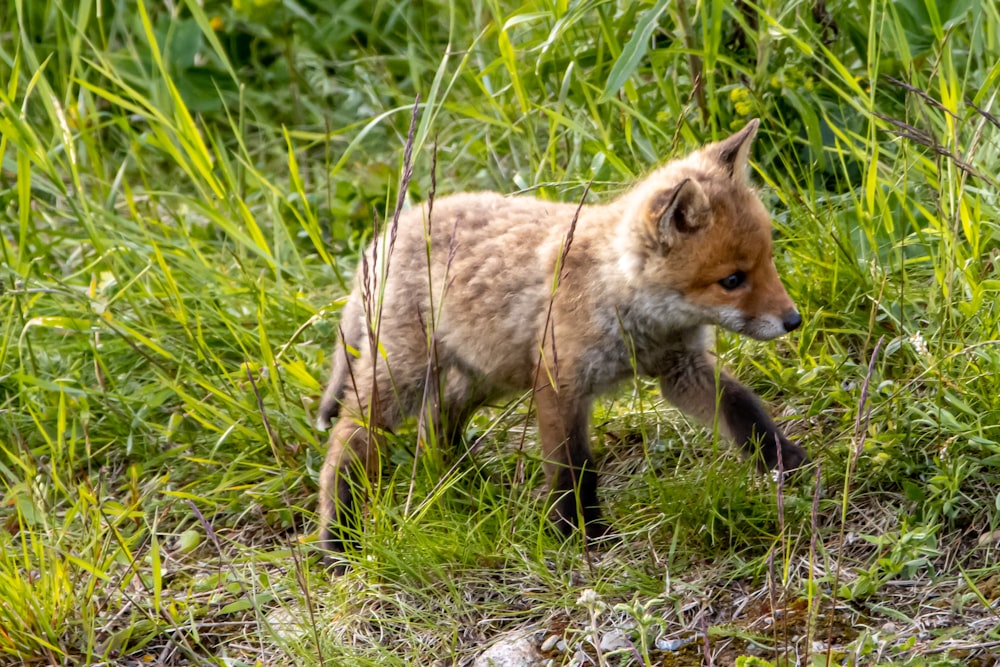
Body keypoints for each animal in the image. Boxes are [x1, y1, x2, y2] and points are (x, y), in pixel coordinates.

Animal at [316, 121, 808, 568]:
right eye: (732, 280)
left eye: (768, 261)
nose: (794, 320)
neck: (621, 300)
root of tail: (390, 230)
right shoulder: (559, 384)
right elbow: (575, 470)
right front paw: (581, 535)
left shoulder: (680, 368)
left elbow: (745, 410)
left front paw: (787, 463)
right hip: (406, 374)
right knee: (349, 440)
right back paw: (338, 537)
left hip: (488, 372)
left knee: (435, 422)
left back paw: (466, 485)